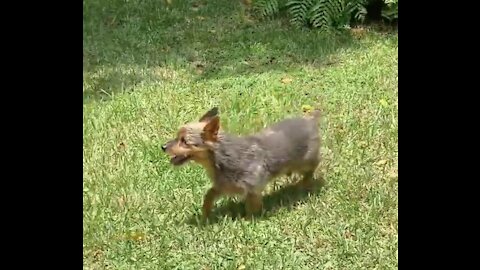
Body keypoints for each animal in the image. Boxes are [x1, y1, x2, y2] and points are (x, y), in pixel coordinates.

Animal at [162, 107, 322, 217]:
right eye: (177, 137)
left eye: (184, 141)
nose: (162, 147)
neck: (222, 159)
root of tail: (311, 121)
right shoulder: (224, 185)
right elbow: (209, 194)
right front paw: (205, 213)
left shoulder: (252, 188)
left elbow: (252, 206)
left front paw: (250, 220)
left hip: (305, 162)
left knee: (312, 168)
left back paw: (305, 183)